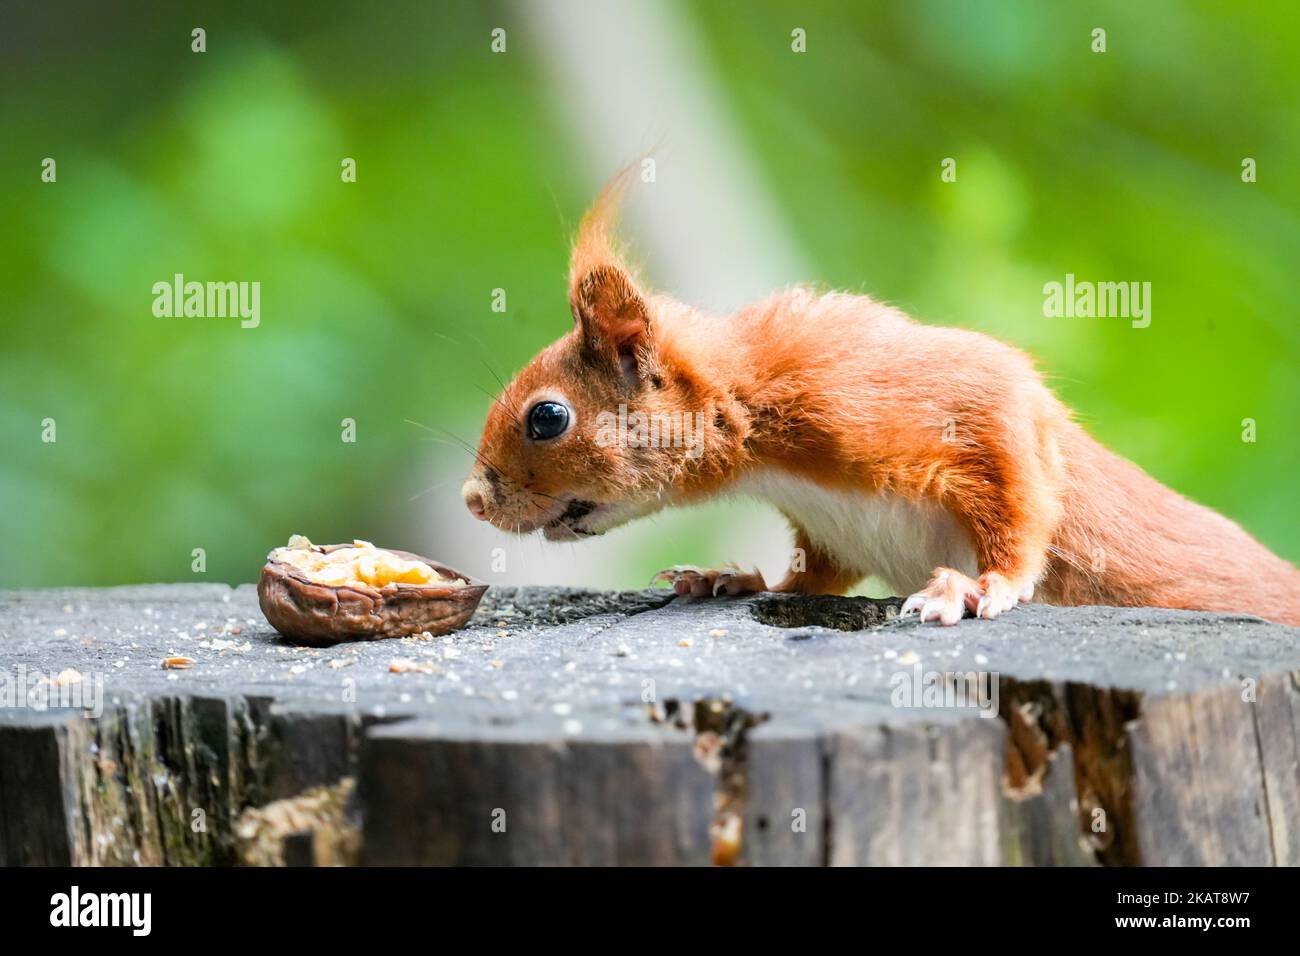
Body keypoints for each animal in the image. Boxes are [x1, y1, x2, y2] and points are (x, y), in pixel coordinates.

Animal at [462, 176, 1300, 627]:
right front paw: (731, 580)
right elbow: (815, 577)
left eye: (547, 417)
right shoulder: (829, 524)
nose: (473, 498)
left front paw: (983, 586)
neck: (764, 446)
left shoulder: (923, 398)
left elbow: (1019, 499)